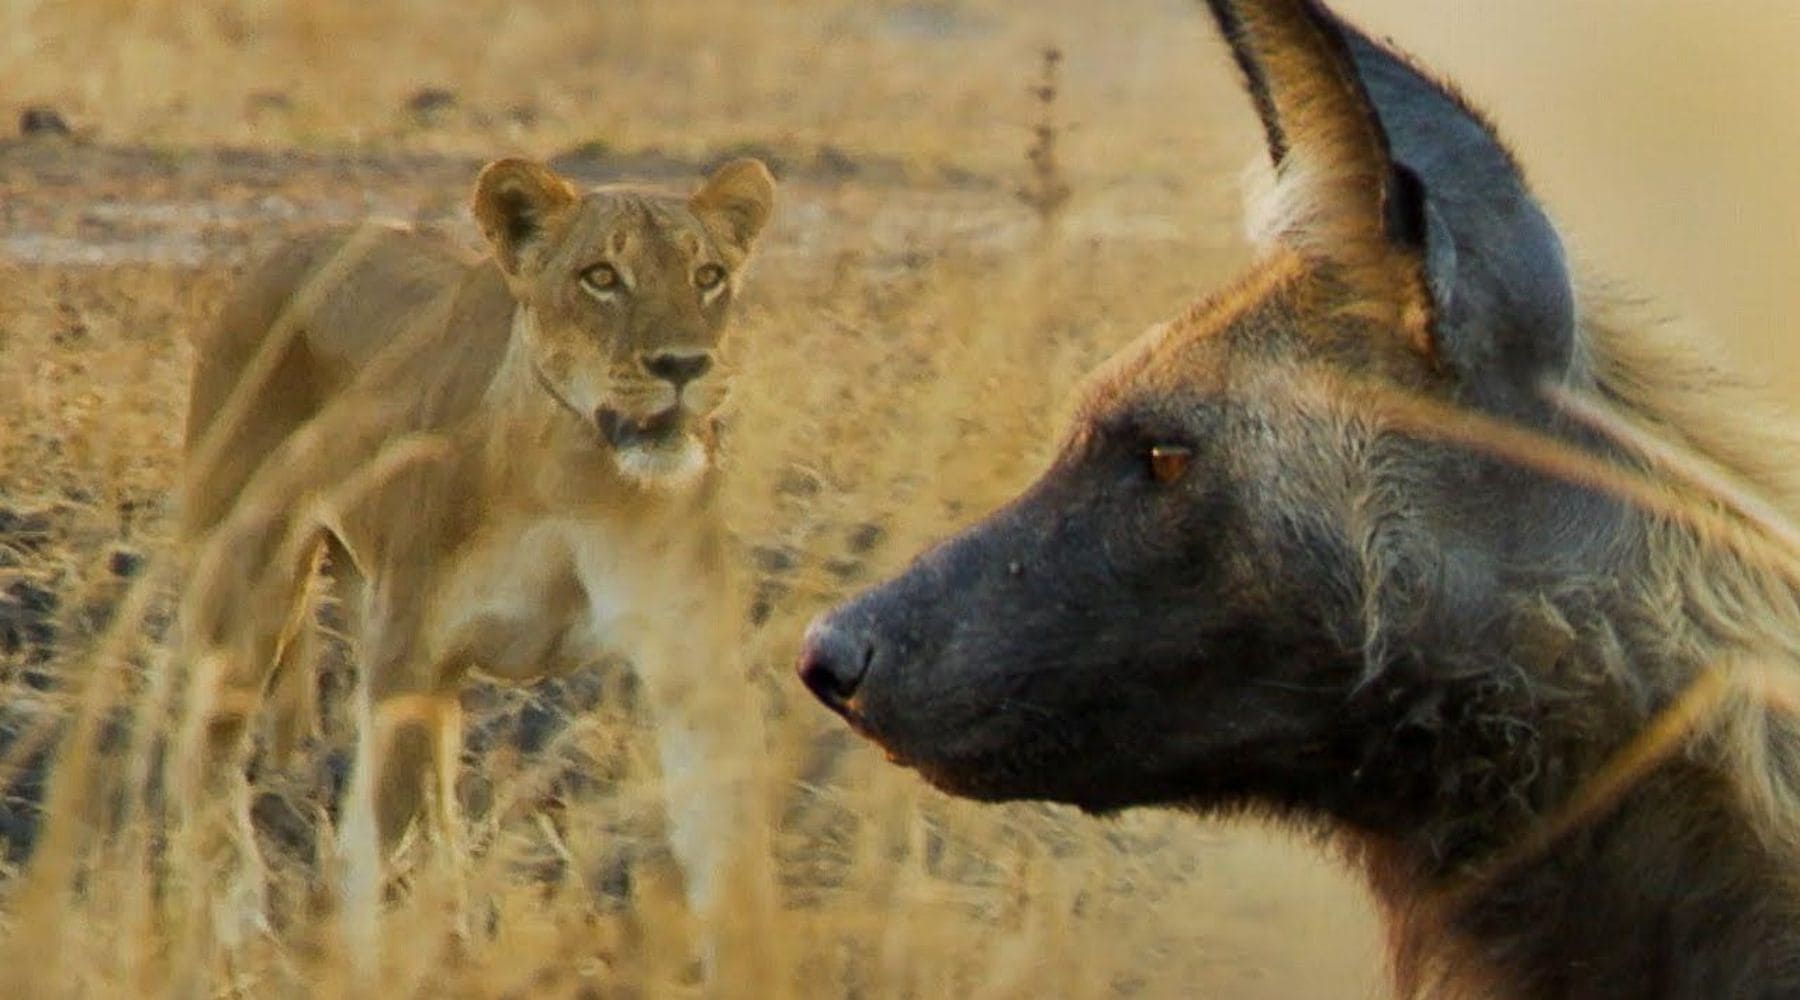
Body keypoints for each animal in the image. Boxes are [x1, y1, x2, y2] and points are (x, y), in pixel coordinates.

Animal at [177, 156, 781, 979]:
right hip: (250, 585)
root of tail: (287, 244)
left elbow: (727, 849)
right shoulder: (410, 660)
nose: (685, 365)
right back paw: (241, 937)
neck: (574, 471)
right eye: (601, 277)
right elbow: (386, 846)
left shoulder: (694, 663)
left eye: (709, 275)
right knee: (211, 757)